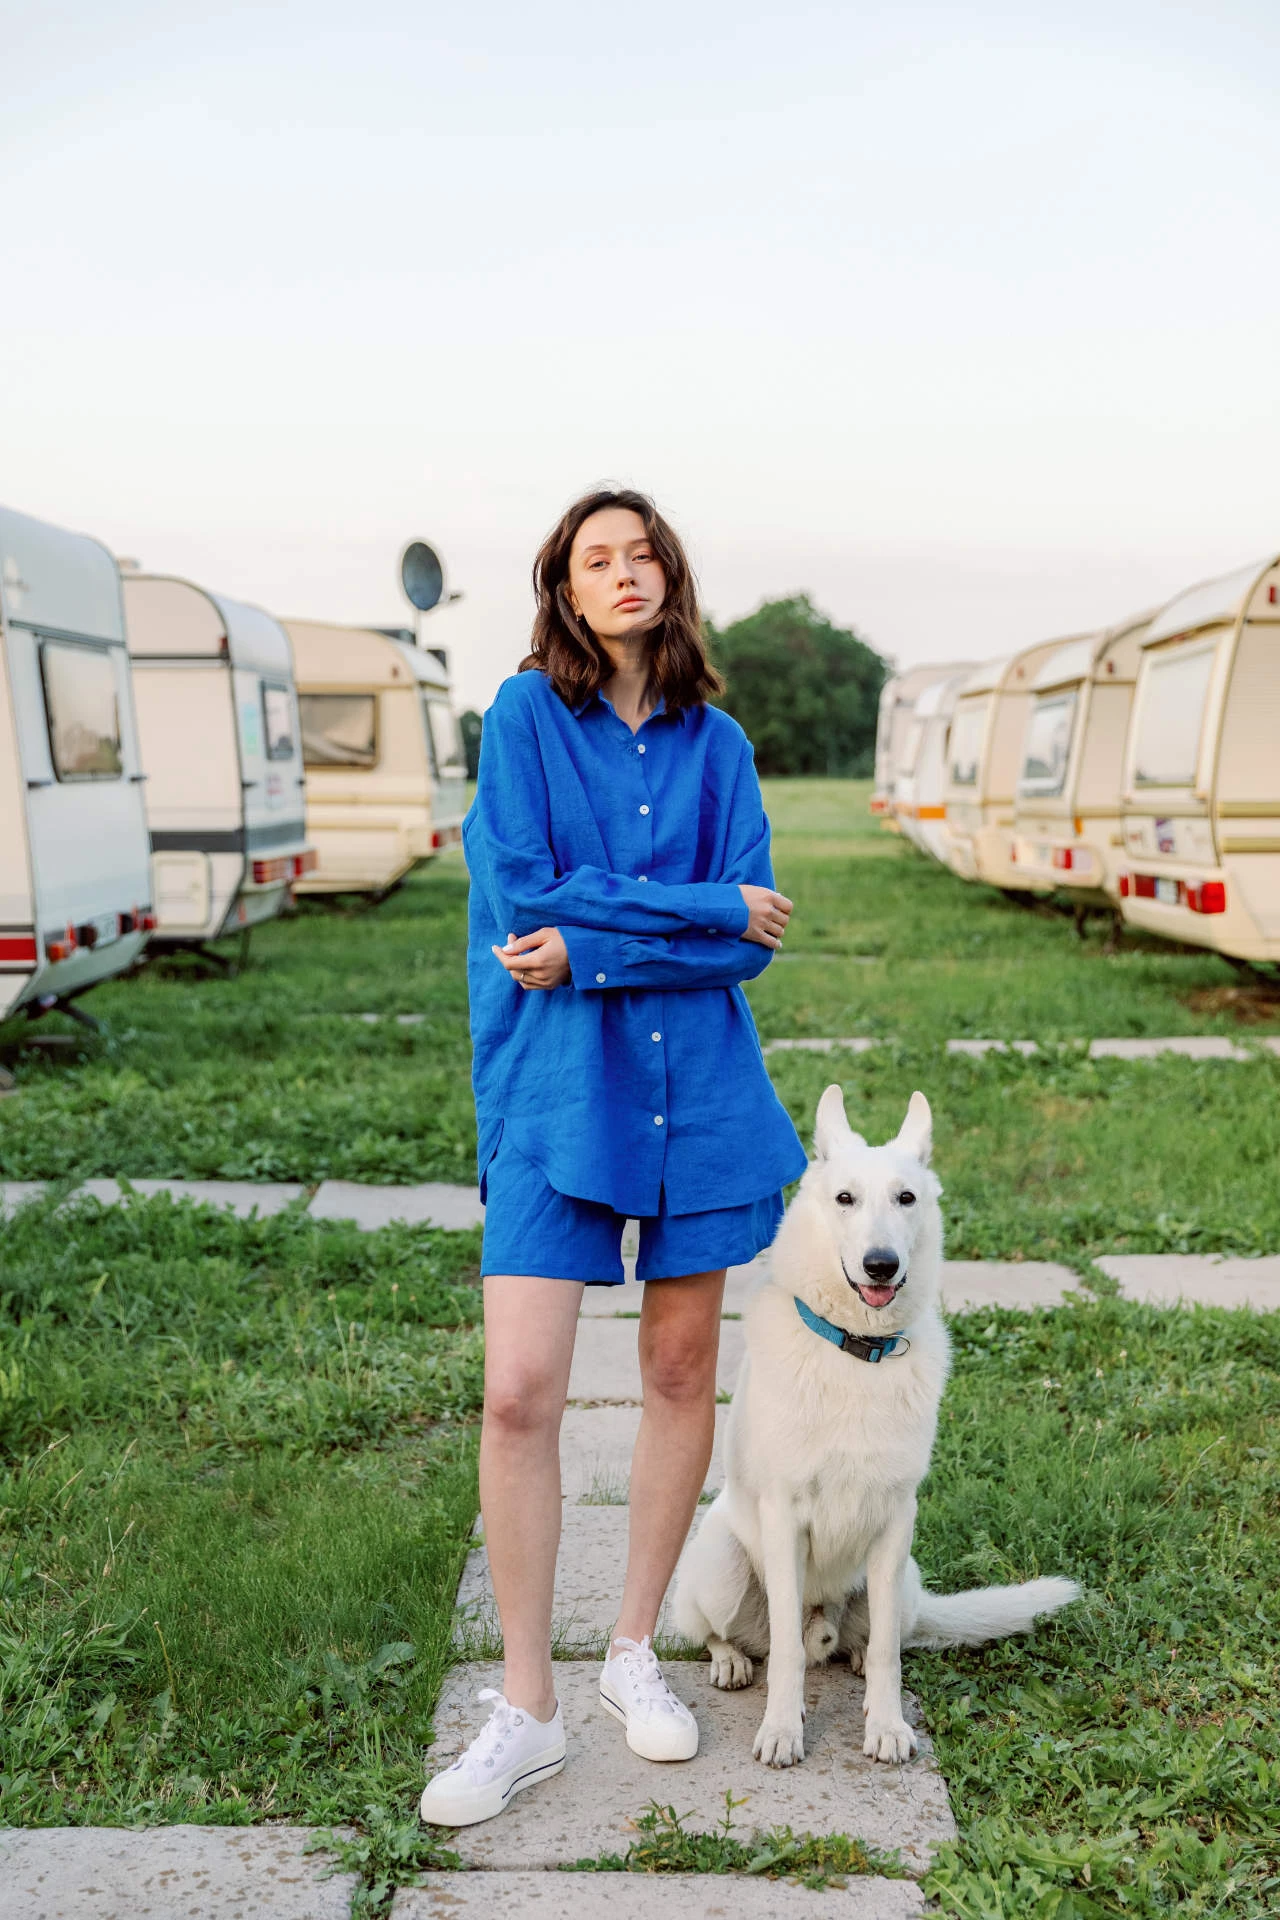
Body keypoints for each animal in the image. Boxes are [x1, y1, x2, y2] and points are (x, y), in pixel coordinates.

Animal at [675, 1090, 1074, 1758]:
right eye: (845, 1199)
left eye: (905, 1198)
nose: (881, 1265)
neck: (856, 1351)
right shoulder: (784, 1518)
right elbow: (785, 1656)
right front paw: (782, 1729)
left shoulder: (895, 1523)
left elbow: (889, 1649)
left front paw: (886, 1724)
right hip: (721, 1569)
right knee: (732, 1635)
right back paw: (731, 1660)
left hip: (903, 1580)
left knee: (873, 1639)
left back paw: (854, 1658)